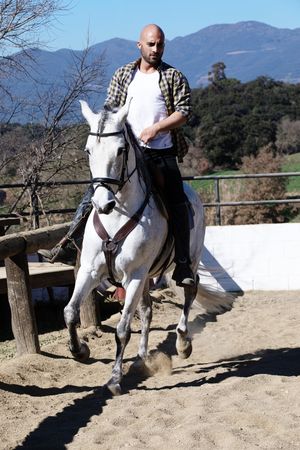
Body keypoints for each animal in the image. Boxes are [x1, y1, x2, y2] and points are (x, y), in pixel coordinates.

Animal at [63, 101, 232, 394]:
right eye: (88, 150)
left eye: (121, 150)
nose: (103, 204)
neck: (117, 216)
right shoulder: (90, 271)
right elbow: (70, 312)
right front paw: (80, 351)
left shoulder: (134, 275)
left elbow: (122, 329)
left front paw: (115, 379)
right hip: (145, 277)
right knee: (147, 309)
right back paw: (145, 356)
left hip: (189, 260)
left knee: (189, 291)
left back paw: (182, 343)